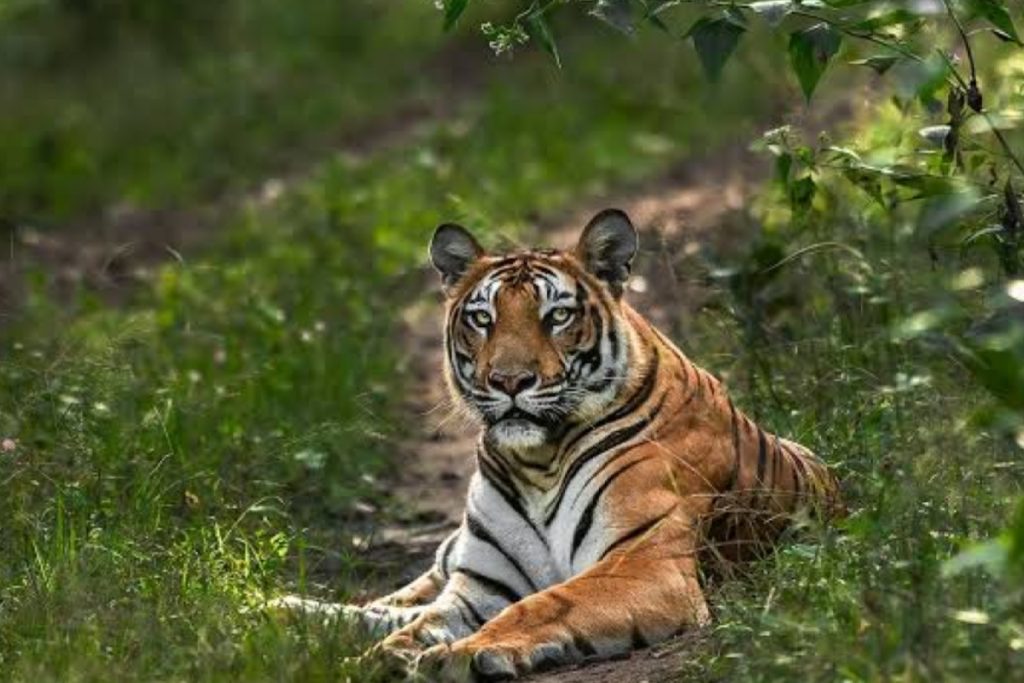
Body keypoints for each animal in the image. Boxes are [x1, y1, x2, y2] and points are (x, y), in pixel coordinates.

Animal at [272, 208, 839, 679]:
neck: (537, 462)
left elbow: (546, 604)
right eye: (483, 318)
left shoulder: (645, 563)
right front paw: (379, 658)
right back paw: (282, 611)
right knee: (392, 603)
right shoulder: (481, 585)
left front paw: (464, 654)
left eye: (557, 317)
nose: (509, 380)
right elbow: (417, 624)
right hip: (450, 559)